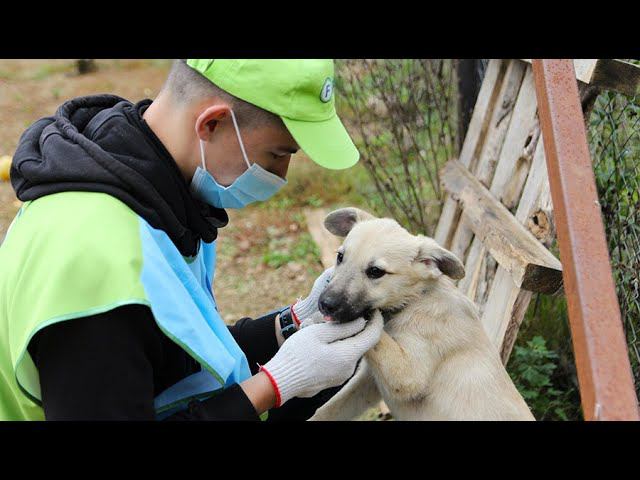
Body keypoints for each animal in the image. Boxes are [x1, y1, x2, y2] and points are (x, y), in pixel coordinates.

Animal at [307, 207, 535, 421]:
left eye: (375, 272)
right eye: (340, 257)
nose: (325, 304)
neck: (415, 300)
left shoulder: (407, 373)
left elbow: (378, 335)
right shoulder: (370, 381)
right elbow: (330, 409)